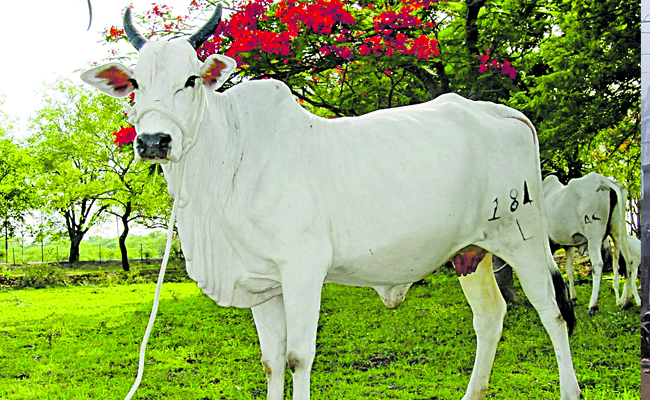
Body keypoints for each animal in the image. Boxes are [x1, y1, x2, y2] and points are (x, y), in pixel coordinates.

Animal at [80, 5, 581, 400]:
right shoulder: (263, 283)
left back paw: (569, 389)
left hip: (522, 239)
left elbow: (298, 357)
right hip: (470, 252)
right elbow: (271, 361)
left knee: (553, 314)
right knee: (490, 317)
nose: (153, 141)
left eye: (190, 80)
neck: (227, 163)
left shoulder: (303, 269)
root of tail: (504, 112)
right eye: (135, 84)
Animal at [542, 173, 636, 314]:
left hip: (594, 234)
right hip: (619, 231)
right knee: (628, 260)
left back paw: (593, 305)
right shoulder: (568, 245)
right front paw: (573, 298)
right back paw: (627, 302)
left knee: (598, 264)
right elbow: (569, 270)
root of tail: (605, 181)